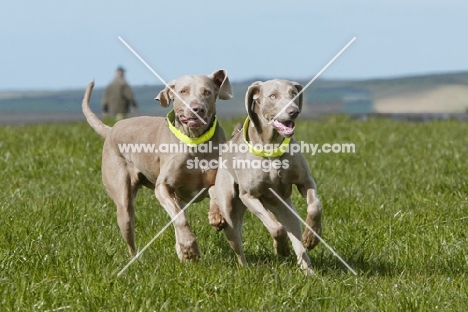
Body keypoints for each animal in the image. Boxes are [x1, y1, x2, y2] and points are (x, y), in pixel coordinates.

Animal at [83, 70, 233, 260]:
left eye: (207, 92)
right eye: (183, 91)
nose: (197, 108)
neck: (195, 141)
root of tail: (112, 129)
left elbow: (214, 192)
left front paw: (216, 216)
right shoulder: (163, 187)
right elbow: (179, 217)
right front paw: (190, 246)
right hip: (123, 200)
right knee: (130, 227)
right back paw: (138, 259)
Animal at [211, 79, 324, 274]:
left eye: (293, 93)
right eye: (273, 96)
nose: (294, 111)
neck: (272, 147)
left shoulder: (305, 181)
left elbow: (315, 206)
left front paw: (311, 237)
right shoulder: (249, 196)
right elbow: (276, 228)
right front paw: (281, 248)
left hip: (284, 207)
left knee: (295, 234)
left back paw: (308, 271)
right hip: (230, 209)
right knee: (237, 241)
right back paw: (246, 269)